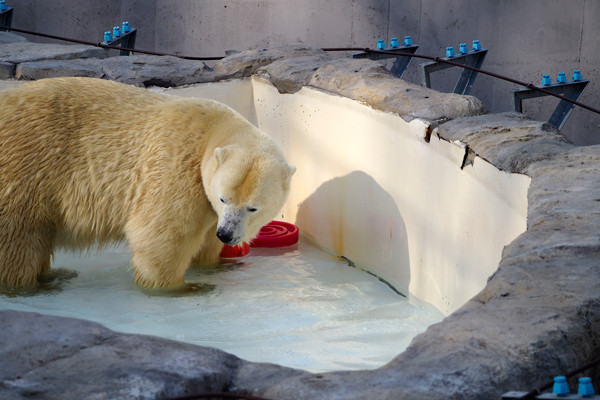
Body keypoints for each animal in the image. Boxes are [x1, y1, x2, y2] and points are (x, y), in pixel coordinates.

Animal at [0, 77, 296, 288]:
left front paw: (217, 266)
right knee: (18, 242)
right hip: (23, 171)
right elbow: (160, 236)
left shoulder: (210, 209)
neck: (212, 130)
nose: (227, 234)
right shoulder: (176, 167)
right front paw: (183, 288)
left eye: (252, 208)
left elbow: (205, 246)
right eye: (224, 198)